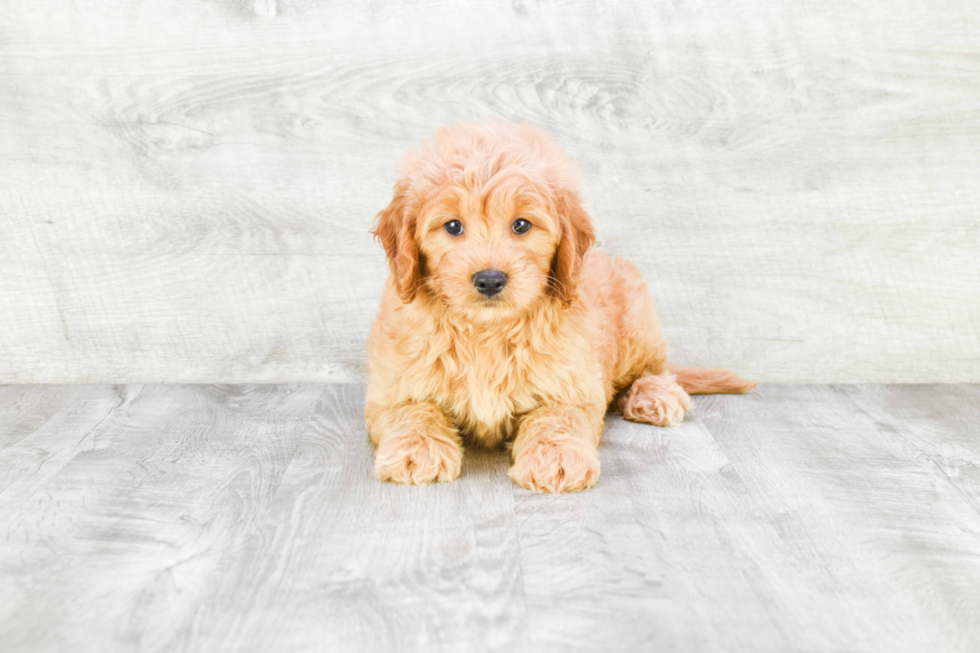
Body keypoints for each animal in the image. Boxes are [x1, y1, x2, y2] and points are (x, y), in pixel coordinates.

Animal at [364, 121, 756, 494]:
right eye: (452, 226)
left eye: (522, 225)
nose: (490, 279)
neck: (487, 331)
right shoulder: (391, 387)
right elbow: (411, 410)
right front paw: (417, 449)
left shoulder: (571, 385)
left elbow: (557, 417)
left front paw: (556, 457)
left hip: (638, 325)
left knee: (655, 369)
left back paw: (654, 396)